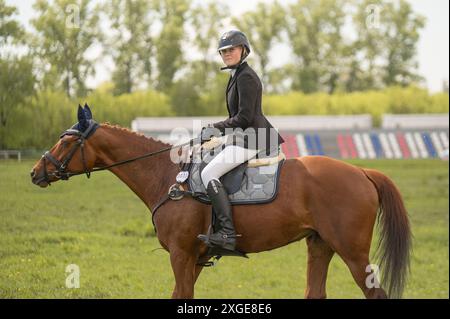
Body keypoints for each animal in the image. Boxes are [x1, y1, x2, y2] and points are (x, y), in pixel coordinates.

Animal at [30, 106, 412, 298]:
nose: (35, 172)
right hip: (320, 245)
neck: (166, 176)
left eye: (67, 141)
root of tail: (361, 171)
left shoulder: (182, 255)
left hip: (352, 252)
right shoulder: (194, 259)